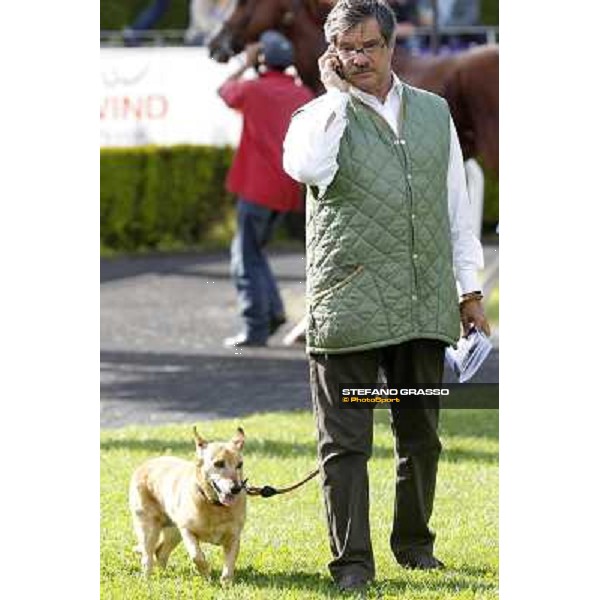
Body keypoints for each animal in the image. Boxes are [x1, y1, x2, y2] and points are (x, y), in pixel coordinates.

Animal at [129, 426, 246, 584]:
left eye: (239, 465)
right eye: (219, 463)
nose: (236, 488)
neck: (213, 505)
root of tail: (144, 465)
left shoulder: (233, 536)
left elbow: (229, 564)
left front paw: (226, 583)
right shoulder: (186, 530)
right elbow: (197, 556)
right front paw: (206, 574)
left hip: (173, 531)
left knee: (160, 552)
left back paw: (162, 575)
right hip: (149, 529)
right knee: (147, 556)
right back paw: (147, 580)